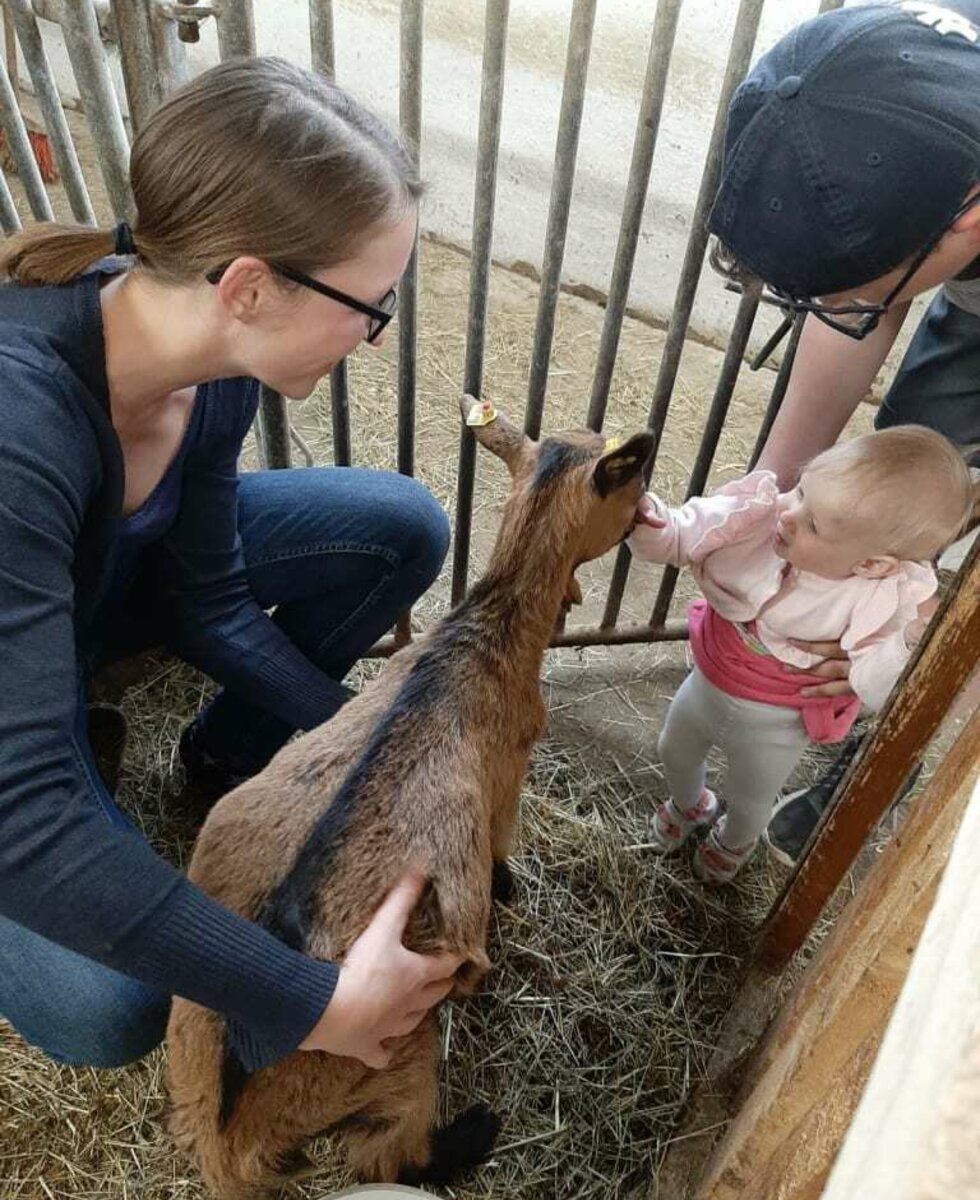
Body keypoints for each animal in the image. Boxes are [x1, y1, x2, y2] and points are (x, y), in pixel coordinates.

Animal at [166, 398, 657, 1195]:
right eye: (629, 478)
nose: (648, 507)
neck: (479, 641)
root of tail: (227, 1136)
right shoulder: (507, 777)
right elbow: (500, 849)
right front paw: (509, 889)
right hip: (396, 1045)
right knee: (392, 1150)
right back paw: (474, 1132)